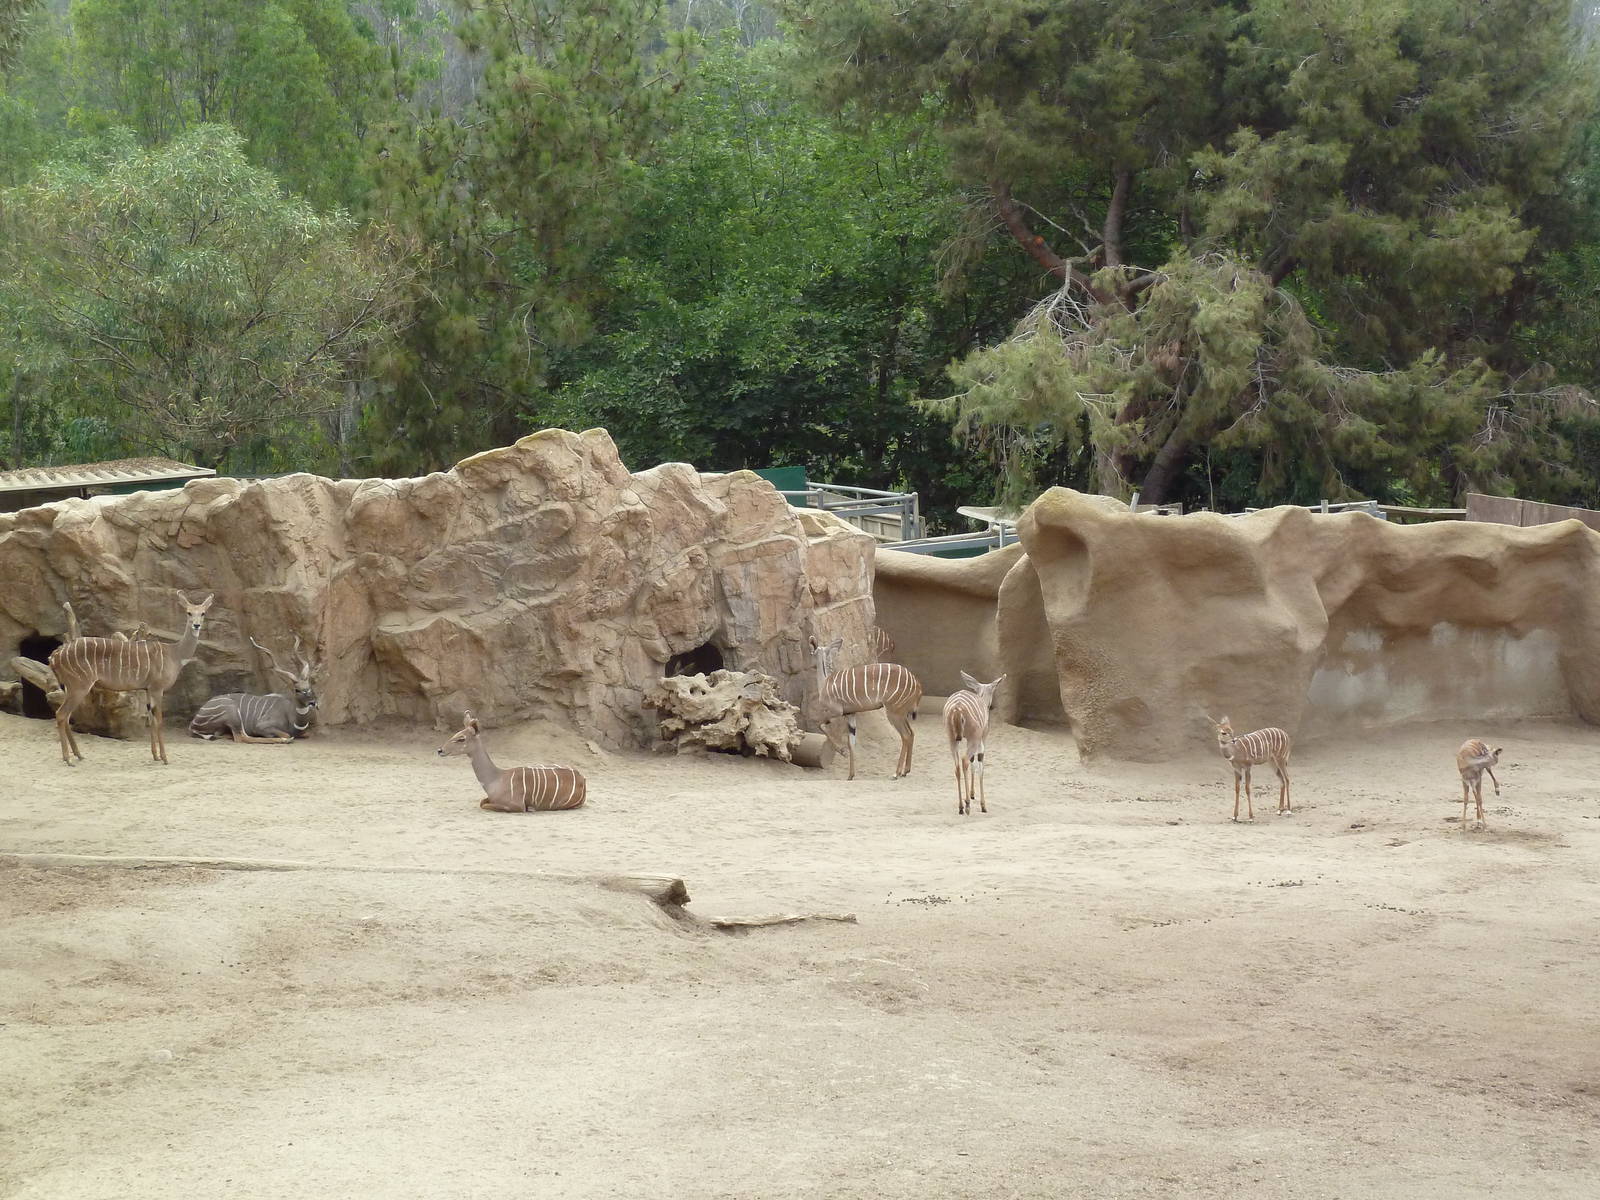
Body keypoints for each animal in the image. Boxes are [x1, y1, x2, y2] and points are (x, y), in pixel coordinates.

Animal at [49, 592, 214, 764]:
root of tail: (54, 656)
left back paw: (78, 755)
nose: (196, 625)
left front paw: (155, 756)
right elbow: (159, 720)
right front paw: (164, 758)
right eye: (189, 612)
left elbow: (151, 720)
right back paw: (68, 759)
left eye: (203, 613)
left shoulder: (147, 689)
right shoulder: (157, 688)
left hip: (70, 687)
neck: (174, 654)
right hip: (79, 686)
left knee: (66, 716)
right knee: (61, 714)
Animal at [189, 636, 318, 744]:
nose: (313, 703)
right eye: (297, 690)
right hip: (232, 713)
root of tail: (193, 722)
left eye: (309, 686)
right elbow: (286, 734)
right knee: (242, 738)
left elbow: (307, 734)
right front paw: (282, 738)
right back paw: (282, 740)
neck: (291, 714)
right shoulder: (261, 726)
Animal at [436, 712, 587, 813]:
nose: (440, 750)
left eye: (461, 739)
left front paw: (530, 808)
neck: (496, 779)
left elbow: (484, 805)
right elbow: (482, 801)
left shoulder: (515, 805)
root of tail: (582, 778)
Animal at [809, 634, 924, 780]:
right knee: (912, 733)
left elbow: (820, 724)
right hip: (900, 713)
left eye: (812, 651)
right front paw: (850, 776)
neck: (825, 683)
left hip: (893, 713)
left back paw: (896, 773)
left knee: (906, 735)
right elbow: (851, 742)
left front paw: (842, 752)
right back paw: (905, 771)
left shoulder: (836, 711)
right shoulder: (851, 715)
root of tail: (917, 685)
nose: (810, 663)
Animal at [942, 671, 1007, 815]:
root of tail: (957, 708)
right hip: (973, 738)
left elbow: (973, 762)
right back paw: (967, 805)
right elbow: (980, 766)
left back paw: (961, 807)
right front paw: (983, 805)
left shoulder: (969, 740)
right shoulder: (981, 739)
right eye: (993, 689)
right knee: (965, 760)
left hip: (952, 739)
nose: (991, 706)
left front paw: (972, 795)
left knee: (957, 767)